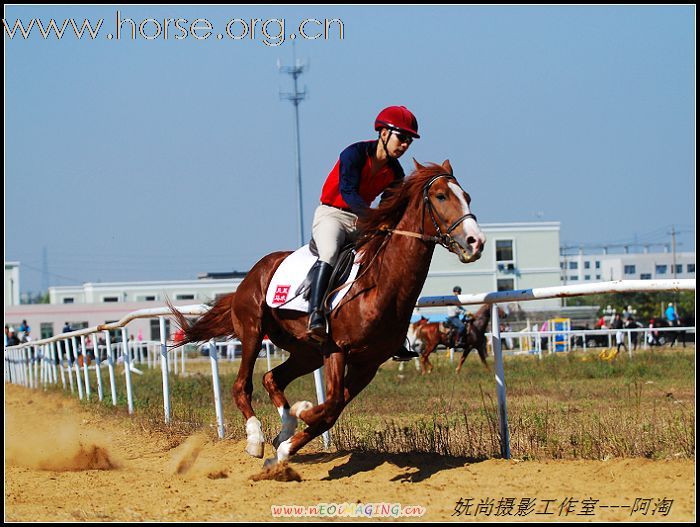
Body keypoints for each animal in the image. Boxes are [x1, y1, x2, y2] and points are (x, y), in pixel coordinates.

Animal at [172, 160, 484, 466]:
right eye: (441, 196)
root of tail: (252, 273)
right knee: (242, 385)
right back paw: (255, 438)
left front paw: (286, 447)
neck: (381, 286)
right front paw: (300, 414)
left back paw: (284, 429)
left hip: (306, 352)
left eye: (467, 197)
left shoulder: (367, 364)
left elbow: (332, 410)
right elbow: (330, 404)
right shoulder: (337, 350)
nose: (476, 241)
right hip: (252, 332)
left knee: (272, 378)